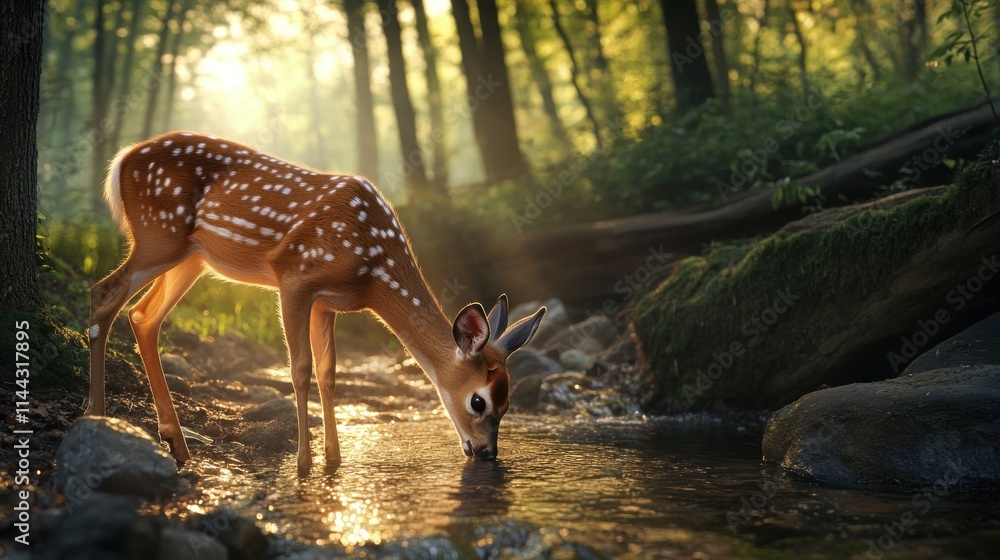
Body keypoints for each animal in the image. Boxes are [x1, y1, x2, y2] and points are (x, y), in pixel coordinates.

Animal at [86, 131, 546, 470]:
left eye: (508, 403)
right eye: (478, 400)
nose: (487, 453)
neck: (371, 271)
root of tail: (121, 160)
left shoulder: (327, 303)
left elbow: (328, 372)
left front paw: (334, 460)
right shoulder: (294, 275)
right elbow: (300, 368)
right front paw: (304, 464)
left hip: (192, 256)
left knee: (142, 315)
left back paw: (177, 444)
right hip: (158, 235)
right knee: (103, 293)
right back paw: (97, 415)